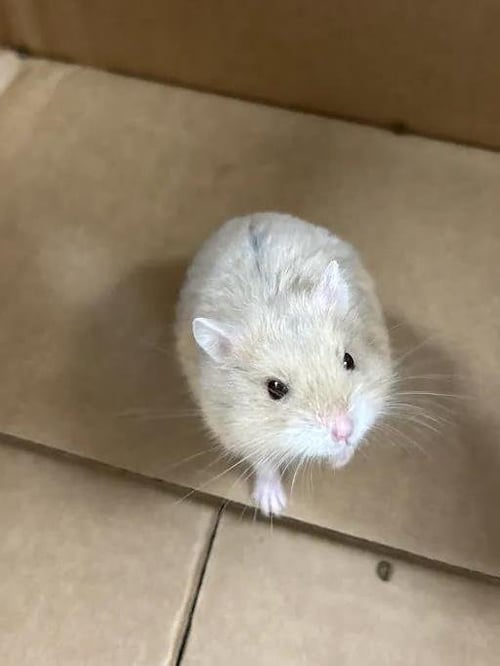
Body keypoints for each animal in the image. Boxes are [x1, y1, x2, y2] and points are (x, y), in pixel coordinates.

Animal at [175, 213, 393, 516]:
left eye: (349, 360)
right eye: (275, 389)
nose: (344, 431)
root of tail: (249, 216)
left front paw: (340, 461)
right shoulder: (243, 434)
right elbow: (264, 465)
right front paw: (272, 507)